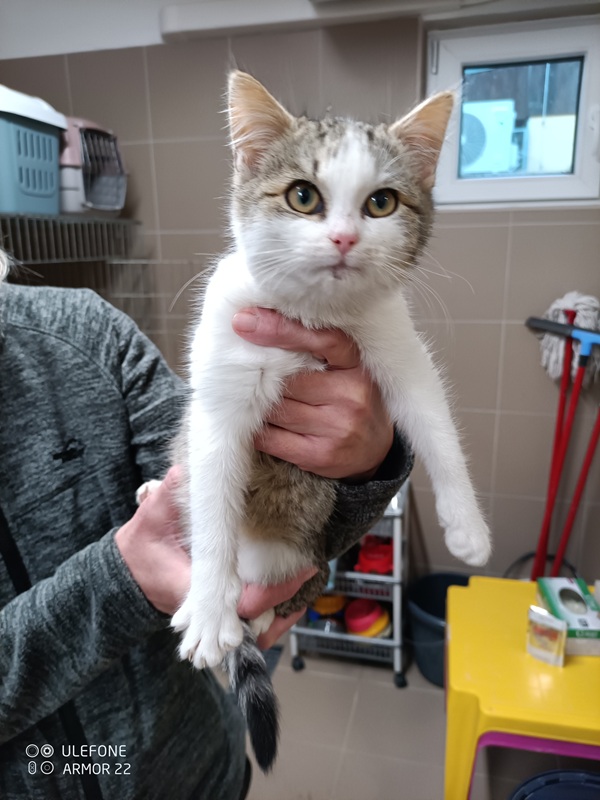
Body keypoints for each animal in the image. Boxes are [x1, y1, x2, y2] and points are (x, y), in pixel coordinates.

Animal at [166, 70, 491, 772]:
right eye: (302, 196)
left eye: (382, 203)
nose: (344, 239)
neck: (313, 317)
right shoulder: (220, 388)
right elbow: (212, 492)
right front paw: (208, 610)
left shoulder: (397, 346)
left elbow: (435, 422)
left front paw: (467, 525)